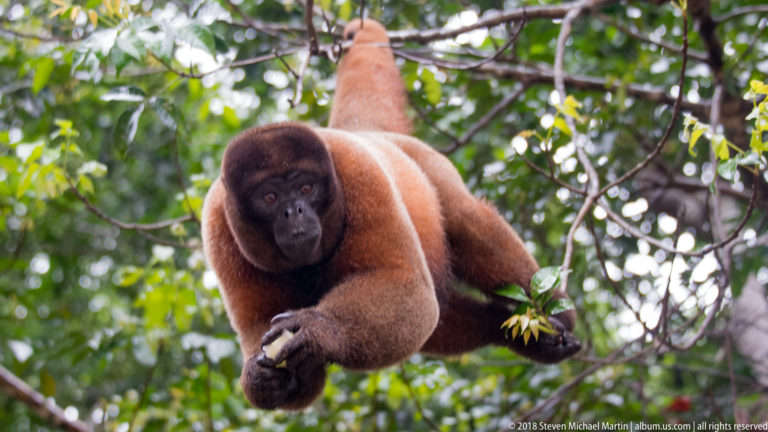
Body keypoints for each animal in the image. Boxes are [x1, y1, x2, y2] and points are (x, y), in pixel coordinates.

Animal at [201, 18, 580, 411]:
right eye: (270, 197)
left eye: (306, 188)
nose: (295, 211)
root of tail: (365, 132)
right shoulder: (216, 223)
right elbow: (261, 326)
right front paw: (260, 380)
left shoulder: (360, 172)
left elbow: (406, 285)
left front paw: (318, 330)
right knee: (441, 311)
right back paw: (504, 328)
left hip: (424, 160)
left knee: (464, 218)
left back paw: (556, 315)